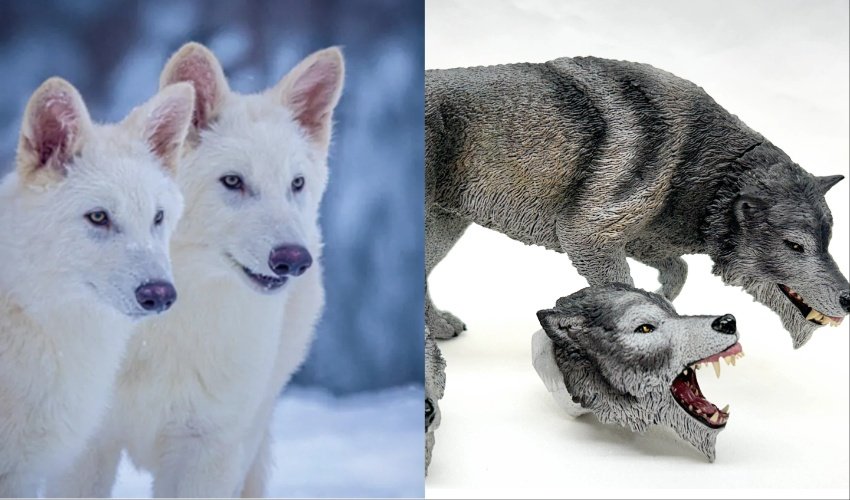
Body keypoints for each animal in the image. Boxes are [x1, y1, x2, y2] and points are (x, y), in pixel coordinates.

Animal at [47, 43, 344, 498]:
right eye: (233, 181)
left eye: (296, 183)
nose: (294, 259)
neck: (166, 330)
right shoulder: (86, 449)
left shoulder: (209, 451)